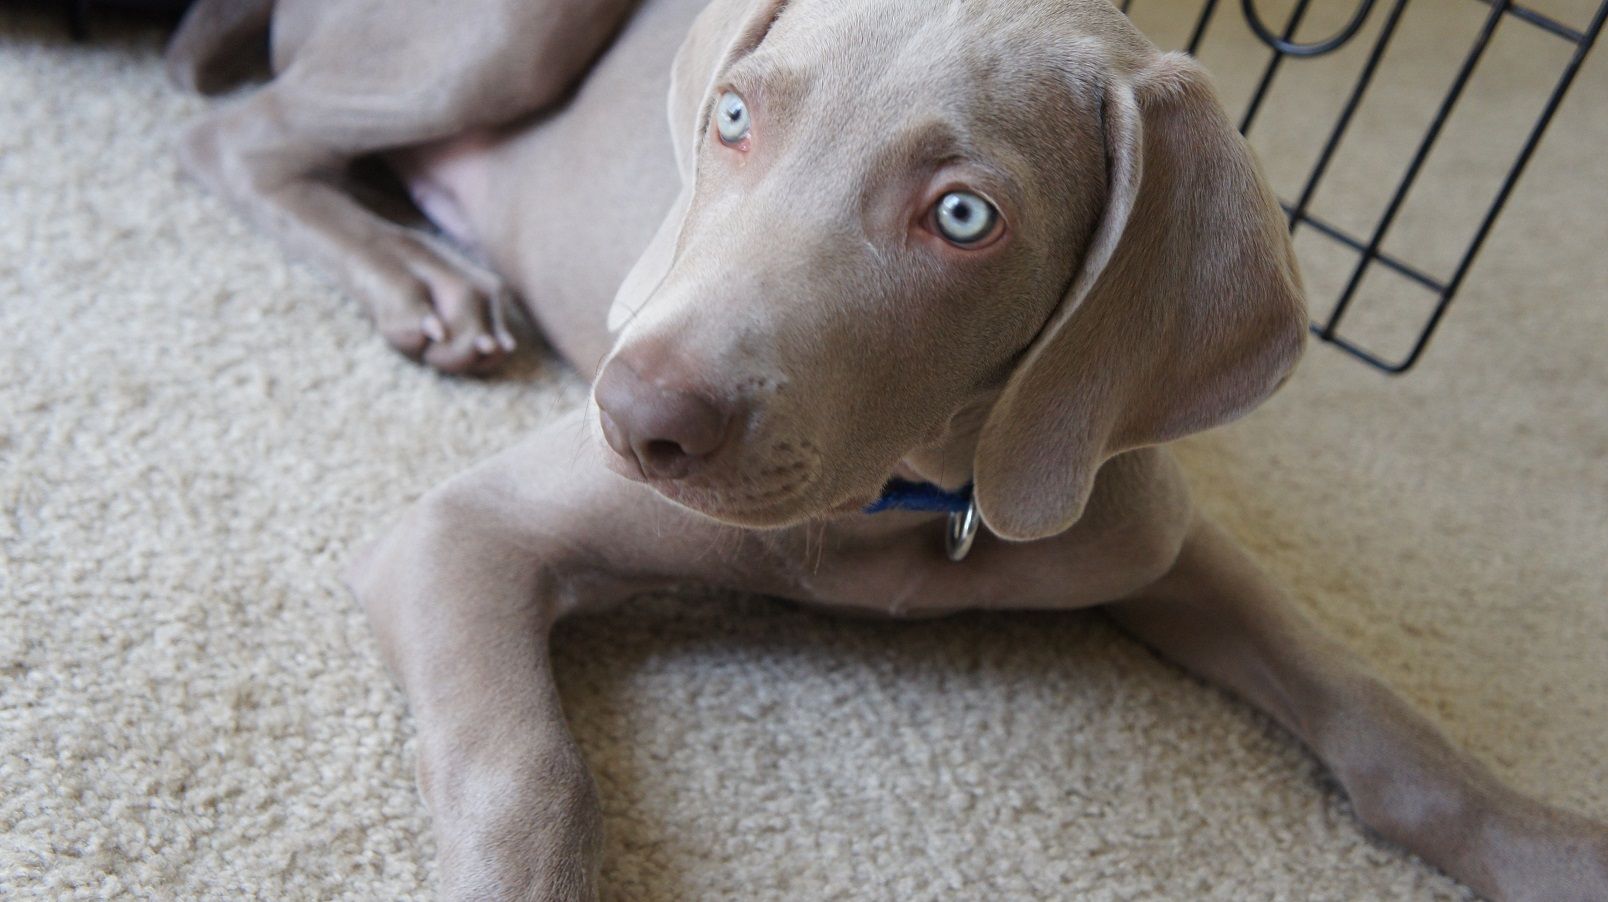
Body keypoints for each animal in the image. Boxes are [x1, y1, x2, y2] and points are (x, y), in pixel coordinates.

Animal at [166, 0, 1608, 893]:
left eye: (963, 216)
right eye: (733, 119)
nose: (636, 413)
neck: (915, 494)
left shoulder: (1138, 515)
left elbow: (1372, 704)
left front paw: (1546, 845)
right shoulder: (456, 532)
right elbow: (531, 767)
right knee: (232, 129)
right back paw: (414, 277)